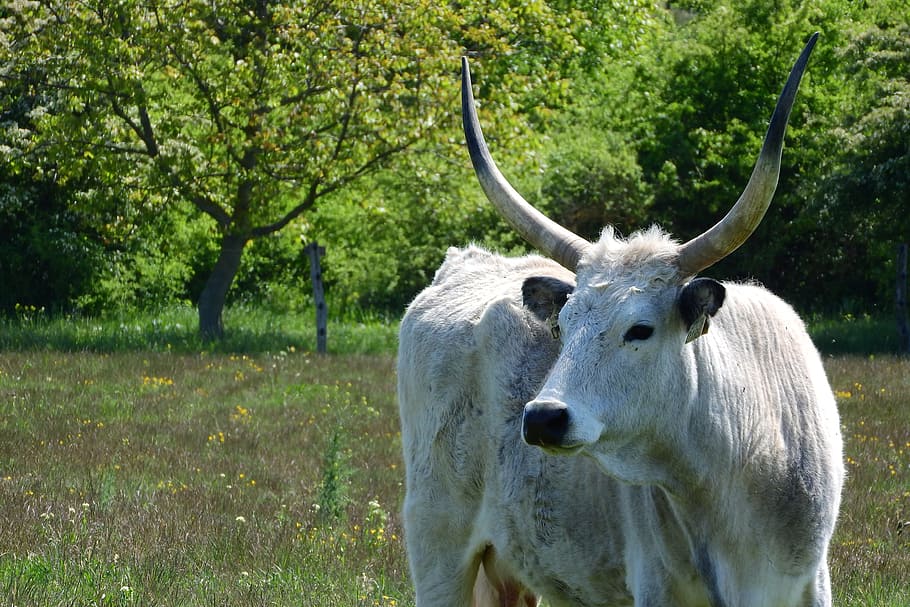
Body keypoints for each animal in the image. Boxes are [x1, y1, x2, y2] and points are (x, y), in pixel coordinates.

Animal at [397, 32, 843, 607]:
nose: (542, 417)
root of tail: (465, 262)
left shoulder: (812, 582)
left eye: (640, 330)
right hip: (437, 543)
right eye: (561, 327)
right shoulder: (655, 587)